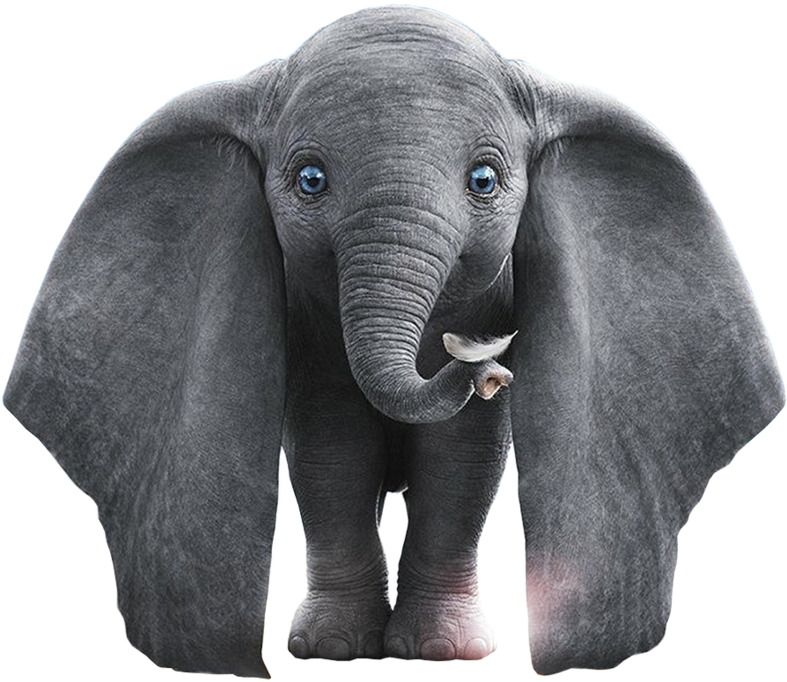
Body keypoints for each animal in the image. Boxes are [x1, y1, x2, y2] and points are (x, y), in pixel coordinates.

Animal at [3, 4, 784, 678]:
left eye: (484, 181)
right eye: (309, 181)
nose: (491, 364)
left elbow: (460, 460)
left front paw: (444, 653)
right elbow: (332, 452)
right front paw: (334, 649)